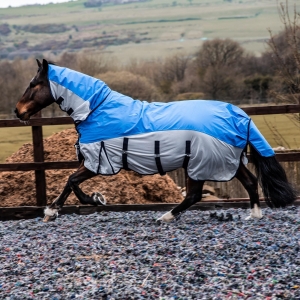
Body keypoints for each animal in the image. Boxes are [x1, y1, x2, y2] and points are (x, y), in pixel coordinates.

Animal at [14, 59, 296, 223]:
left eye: (33, 83)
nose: (18, 112)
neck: (96, 109)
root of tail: (239, 114)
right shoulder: (96, 161)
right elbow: (71, 182)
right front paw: (82, 202)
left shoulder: (99, 161)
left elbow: (71, 181)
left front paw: (76, 204)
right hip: (226, 161)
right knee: (249, 181)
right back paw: (253, 214)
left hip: (201, 163)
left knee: (194, 194)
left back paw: (167, 216)